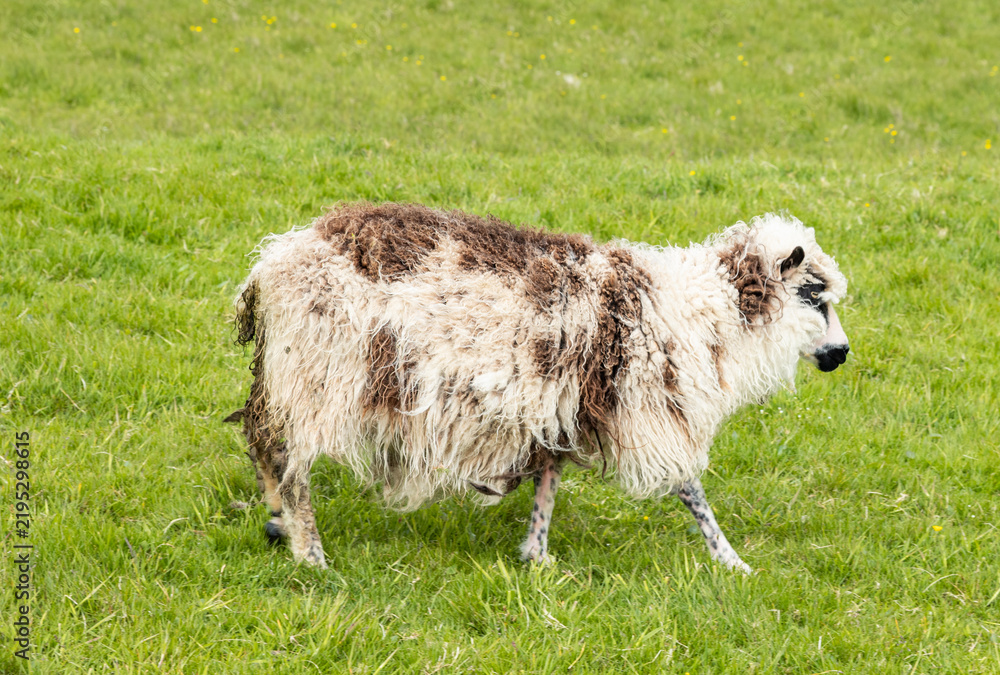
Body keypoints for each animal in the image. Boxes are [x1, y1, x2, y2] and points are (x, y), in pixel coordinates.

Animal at [227, 202, 849, 572]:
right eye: (814, 294)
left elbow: (548, 477)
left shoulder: (560, 404)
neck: (706, 314)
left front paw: (536, 553)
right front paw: (731, 561)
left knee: (261, 439)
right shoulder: (648, 409)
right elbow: (691, 488)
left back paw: (278, 522)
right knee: (290, 462)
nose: (841, 354)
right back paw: (310, 551)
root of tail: (275, 261)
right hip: (320, 373)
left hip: (290, 373)